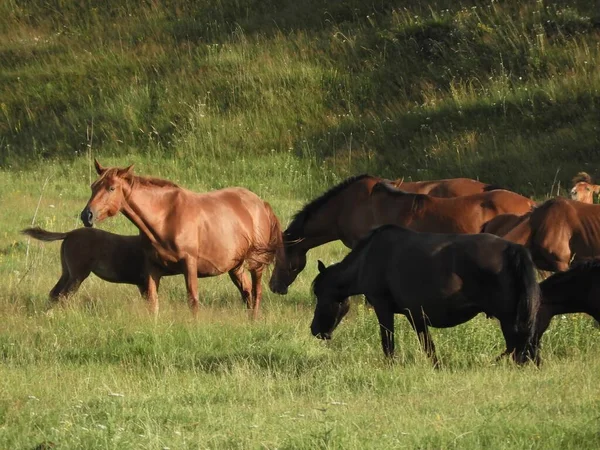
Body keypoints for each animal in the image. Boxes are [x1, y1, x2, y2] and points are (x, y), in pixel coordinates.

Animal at [79, 160, 284, 318]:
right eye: (93, 186)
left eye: (111, 188)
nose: (86, 215)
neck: (165, 218)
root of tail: (261, 204)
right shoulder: (152, 267)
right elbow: (153, 302)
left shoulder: (189, 264)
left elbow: (192, 300)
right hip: (236, 266)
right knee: (247, 293)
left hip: (256, 264)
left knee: (256, 293)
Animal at [310, 225, 540, 366]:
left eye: (321, 295)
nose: (315, 330)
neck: (368, 256)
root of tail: (512, 249)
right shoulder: (416, 315)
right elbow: (428, 346)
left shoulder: (383, 307)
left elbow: (388, 342)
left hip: (508, 319)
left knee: (518, 347)